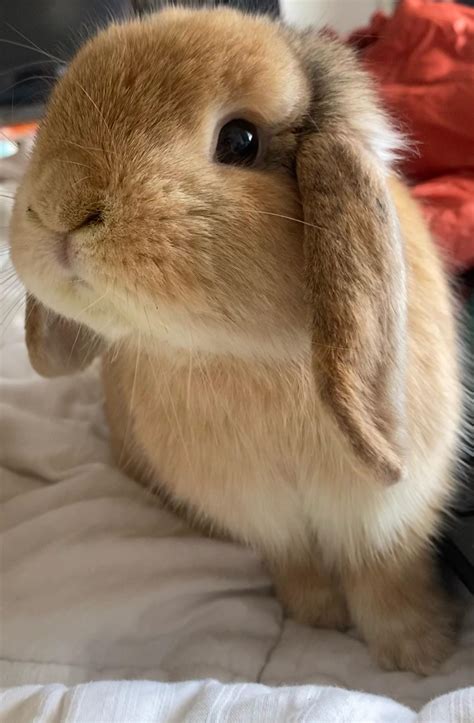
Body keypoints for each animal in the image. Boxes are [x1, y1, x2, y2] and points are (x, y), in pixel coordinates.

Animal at [9, 7, 463, 674]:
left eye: (240, 141)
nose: (59, 206)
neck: (245, 356)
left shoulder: (389, 515)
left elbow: (385, 576)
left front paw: (419, 652)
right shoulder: (266, 518)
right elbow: (298, 565)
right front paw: (317, 617)